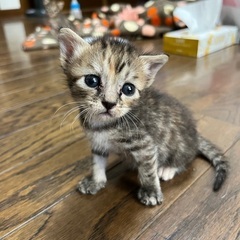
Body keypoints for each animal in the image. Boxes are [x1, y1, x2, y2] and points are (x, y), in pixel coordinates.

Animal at [58, 28, 229, 206]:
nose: (109, 103)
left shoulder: (145, 145)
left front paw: (151, 190)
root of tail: (196, 135)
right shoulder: (98, 142)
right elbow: (97, 162)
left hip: (179, 145)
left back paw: (168, 168)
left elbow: (148, 170)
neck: (104, 125)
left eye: (128, 89)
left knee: (187, 158)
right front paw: (96, 181)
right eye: (91, 80)